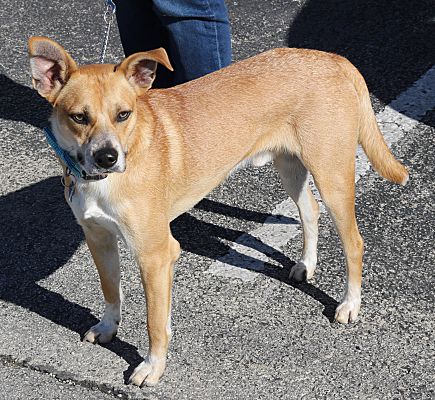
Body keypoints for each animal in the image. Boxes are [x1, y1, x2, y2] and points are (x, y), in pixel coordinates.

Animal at [28, 37, 408, 388]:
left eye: (124, 114)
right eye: (79, 117)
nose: (108, 157)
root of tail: (331, 58)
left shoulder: (155, 254)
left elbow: (154, 322)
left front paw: (152, 366)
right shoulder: (99, 238)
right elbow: (111, 290)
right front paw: (109, 327)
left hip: (332, 176)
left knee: (354, 242)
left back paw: (350, 304)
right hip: (290, 165)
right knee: (310, 211)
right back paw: (306, 264)